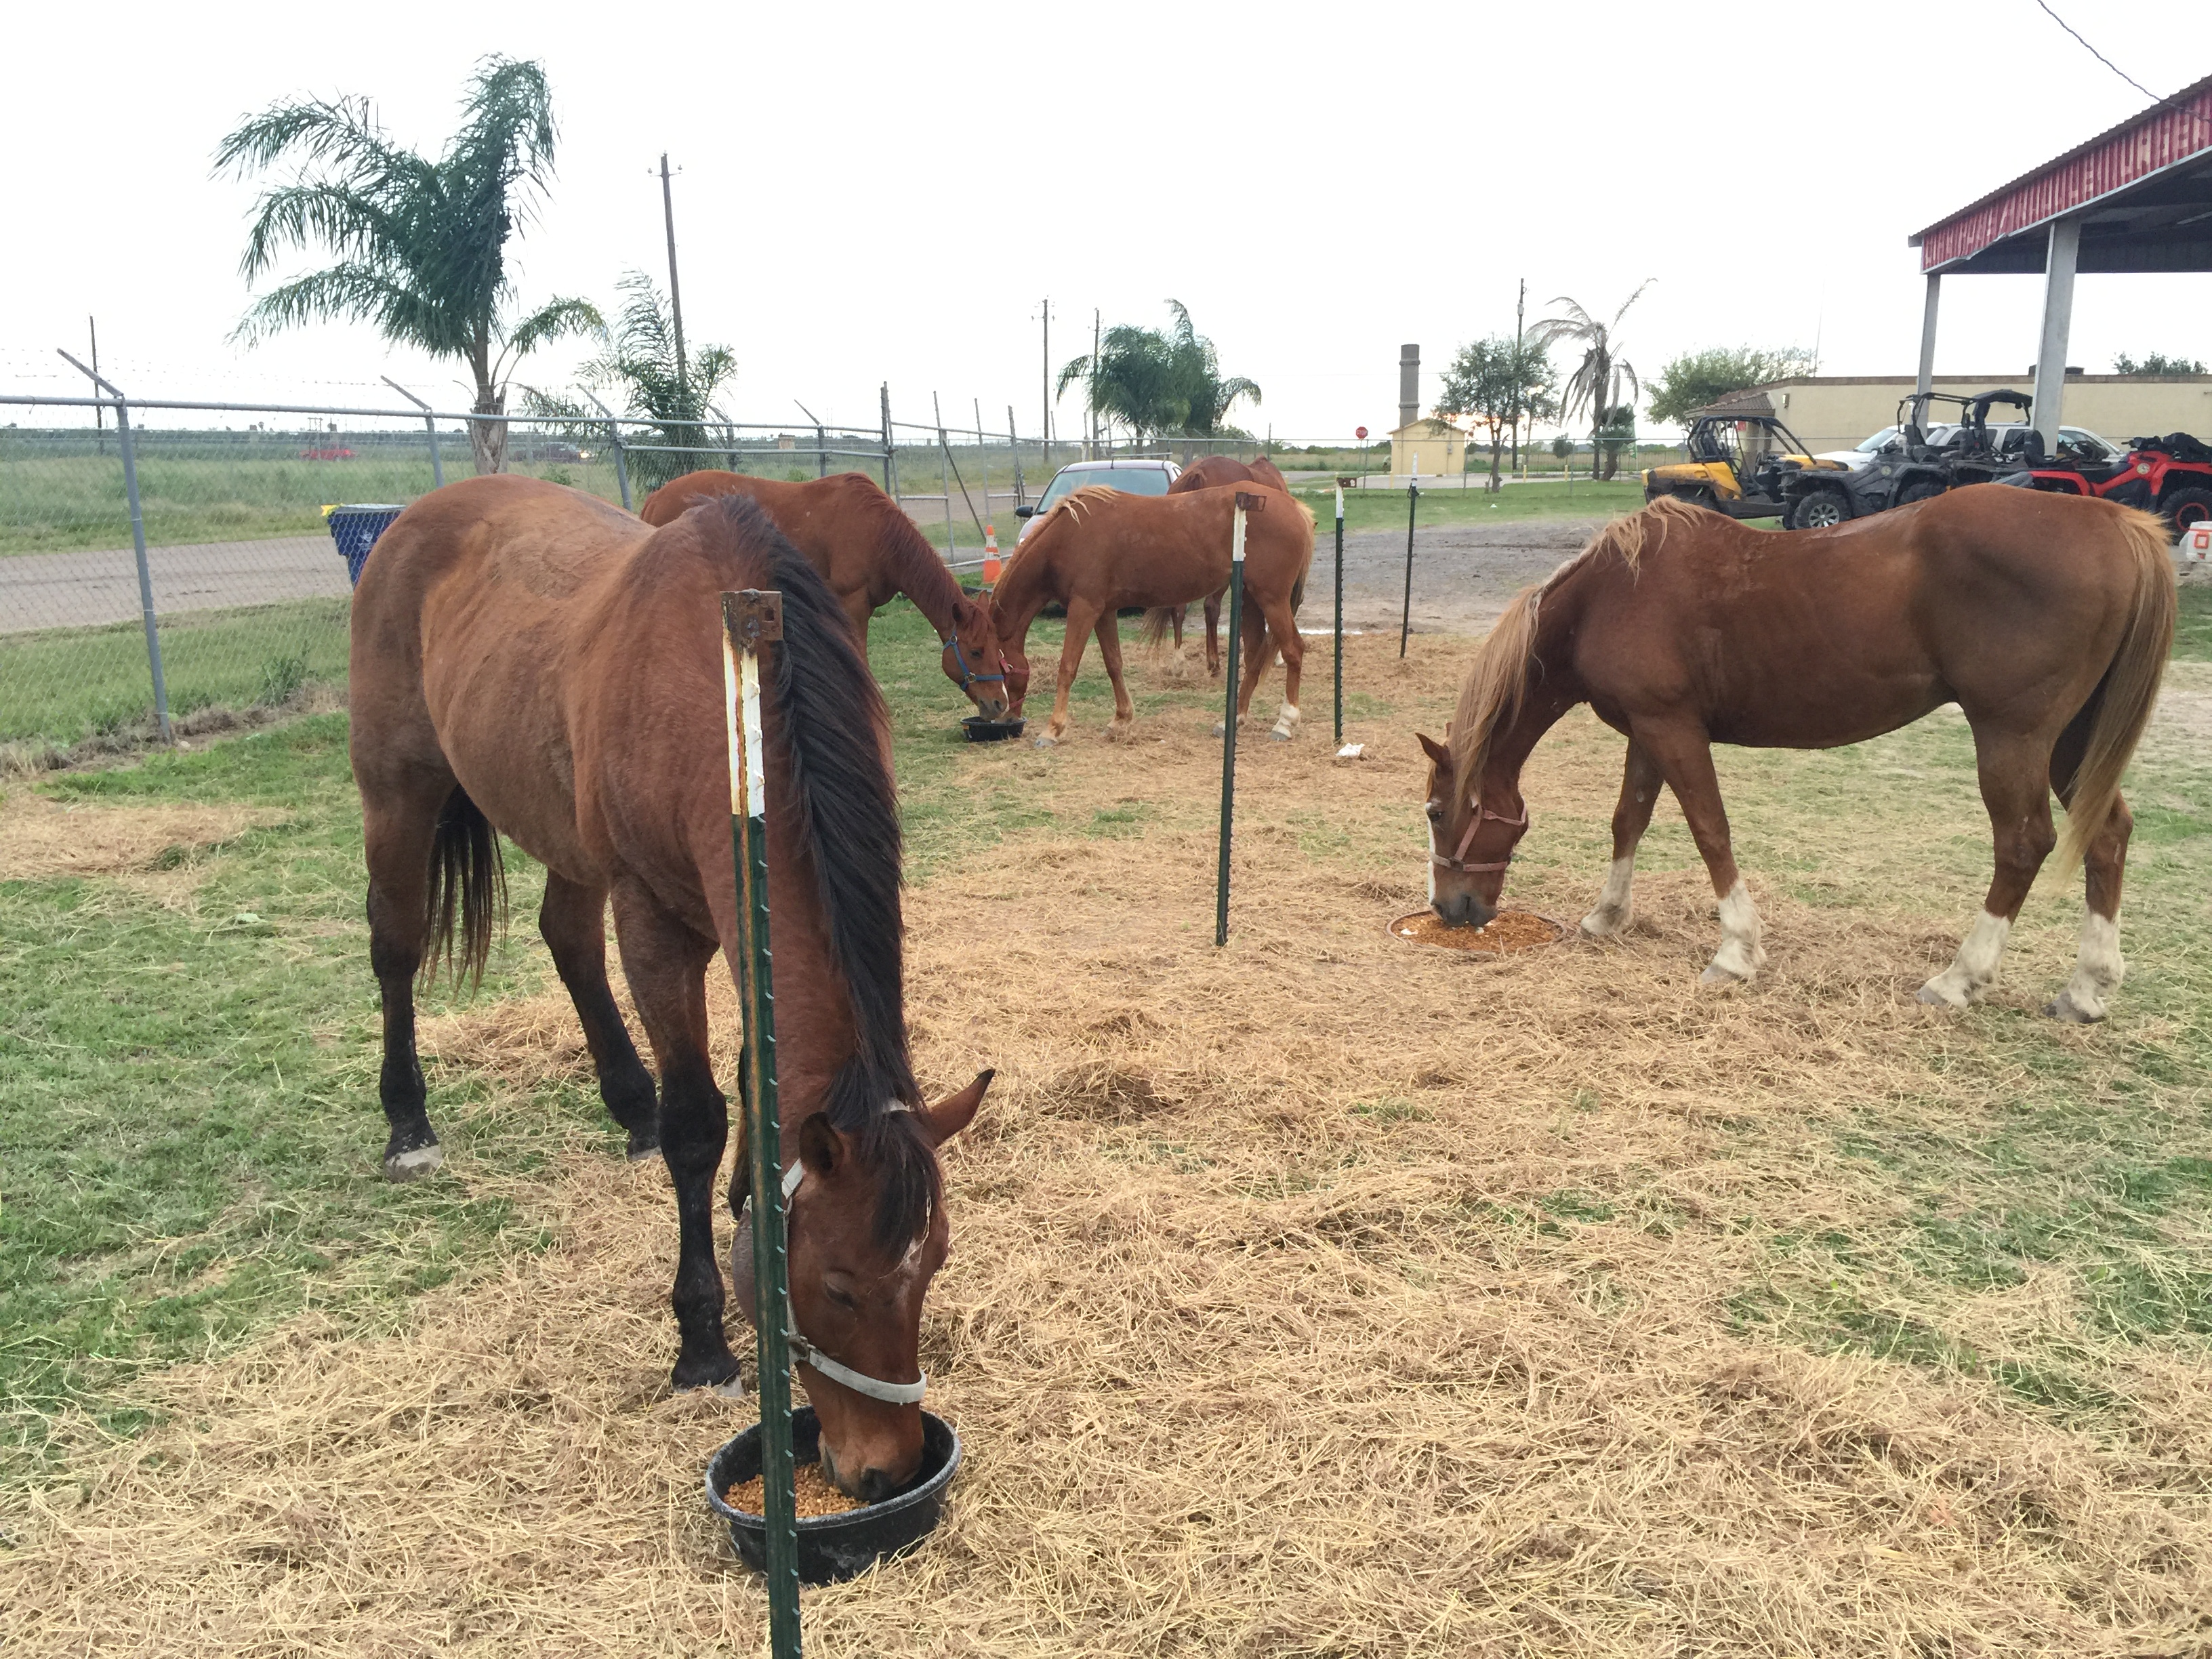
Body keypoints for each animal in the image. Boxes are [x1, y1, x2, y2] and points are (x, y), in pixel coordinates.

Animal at [638, 470, 1010, 719]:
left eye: (997, 647)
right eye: (975, 652)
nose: (1000, 703)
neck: (877, 532)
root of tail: (654, 499)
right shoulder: (853, 603)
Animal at [989, 483, 1316, 746]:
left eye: (990, 660)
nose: (1000, 713)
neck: (1068, 537)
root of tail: (1295, 508)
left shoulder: (1084, 607)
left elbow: (1067, 667)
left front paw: (1053, 729)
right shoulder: (1104, 611)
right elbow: (1114, 664)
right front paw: (1120, 719)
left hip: (1272, 599)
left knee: (1293, 650)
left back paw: (1285, 723)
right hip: (1251, 599)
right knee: (1254, 656)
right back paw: (1233, 720)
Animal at [1419, 488, 2175, 1021]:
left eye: (1434, 812)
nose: (1449, 909)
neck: (1612, 594)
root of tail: (2118, 525)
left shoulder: (1672, 729)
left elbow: (1710, 831)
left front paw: (1735, 952)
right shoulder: (1647, 731)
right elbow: (1628, 822)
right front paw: (1607, 917)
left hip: (2012, 735)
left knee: (2022, 844)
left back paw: (1959, 979)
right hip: (2073, 741)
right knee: (2108, 836)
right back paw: (2088, 989)